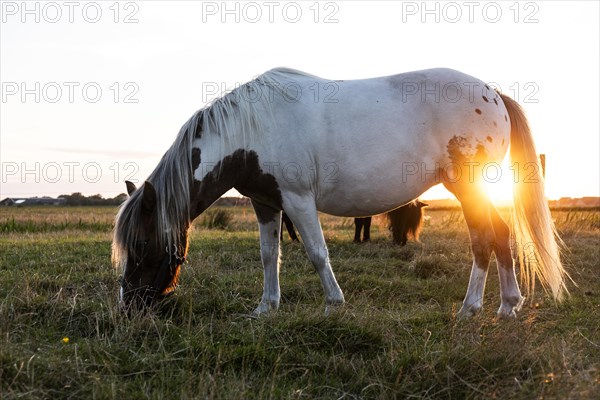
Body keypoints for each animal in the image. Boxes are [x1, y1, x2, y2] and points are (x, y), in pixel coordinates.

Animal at [112, 68, 568, 318]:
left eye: (141, 244)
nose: (129, 306)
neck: (249, 130)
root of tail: (494, 94)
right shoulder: (265, 203)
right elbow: (268, 255)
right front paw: (266, 308)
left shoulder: (297, 199)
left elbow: (317, 253)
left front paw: (333, 303)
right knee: (500, 236)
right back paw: (507, 306)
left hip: (469, 187)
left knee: (485, 239)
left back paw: (473, 308)